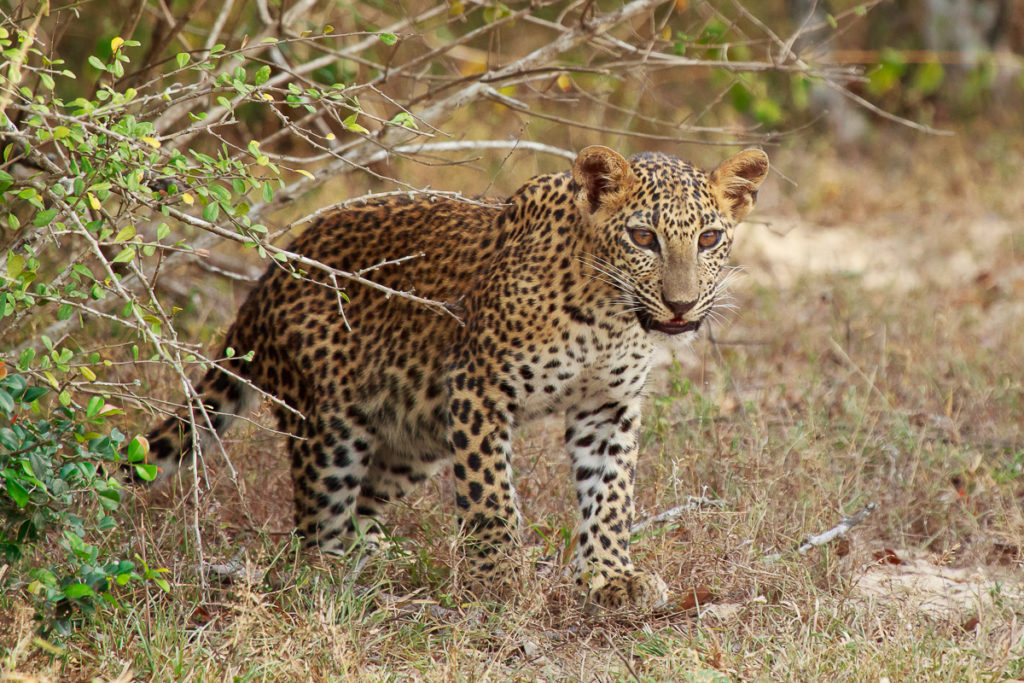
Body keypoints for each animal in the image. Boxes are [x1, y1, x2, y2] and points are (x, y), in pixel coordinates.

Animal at [142, 143, 770, 610]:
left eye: (709, 239)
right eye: (643, 238)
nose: (681, 306)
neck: (609, 315)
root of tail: (266, 278)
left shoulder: (606, 407)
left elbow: (610, 496)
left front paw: (611, 577)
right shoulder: (478, 387)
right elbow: (491, 495)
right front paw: (500, 580)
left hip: (411, 436)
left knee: (365, 502)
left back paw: (380, 560)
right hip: (330, 427)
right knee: (317, 523)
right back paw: (331, 575)